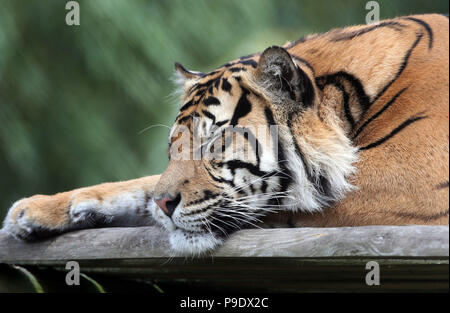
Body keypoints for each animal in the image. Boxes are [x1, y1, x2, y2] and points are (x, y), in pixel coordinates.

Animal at [1, 13, 448, 255]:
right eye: (173, 149)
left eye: (212, 142)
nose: (164, 205)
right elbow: (139, 184)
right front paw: (33, 211)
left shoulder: (410, 187)